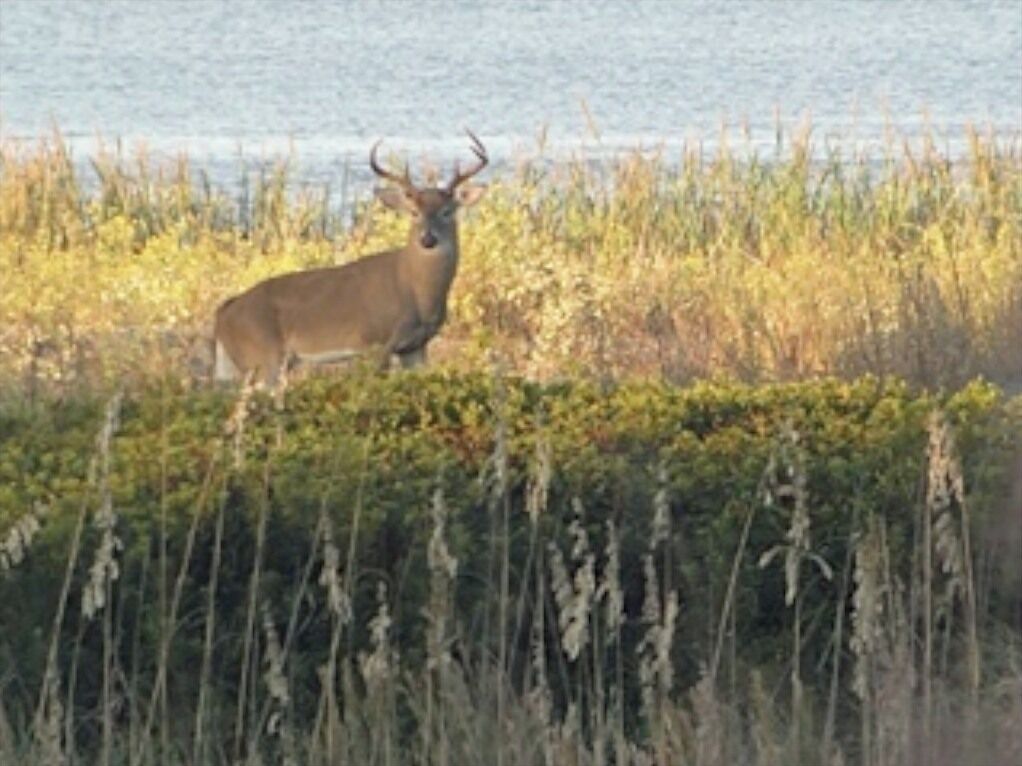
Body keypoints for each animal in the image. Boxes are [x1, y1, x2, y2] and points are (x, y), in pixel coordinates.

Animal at [213, 131, 488, 385]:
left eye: (447, 211)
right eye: (413, 212)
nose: (428, 239)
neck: (417, 293)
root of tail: (224, 313)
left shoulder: (416, 346)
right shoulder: (375, 341)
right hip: (263, 355)